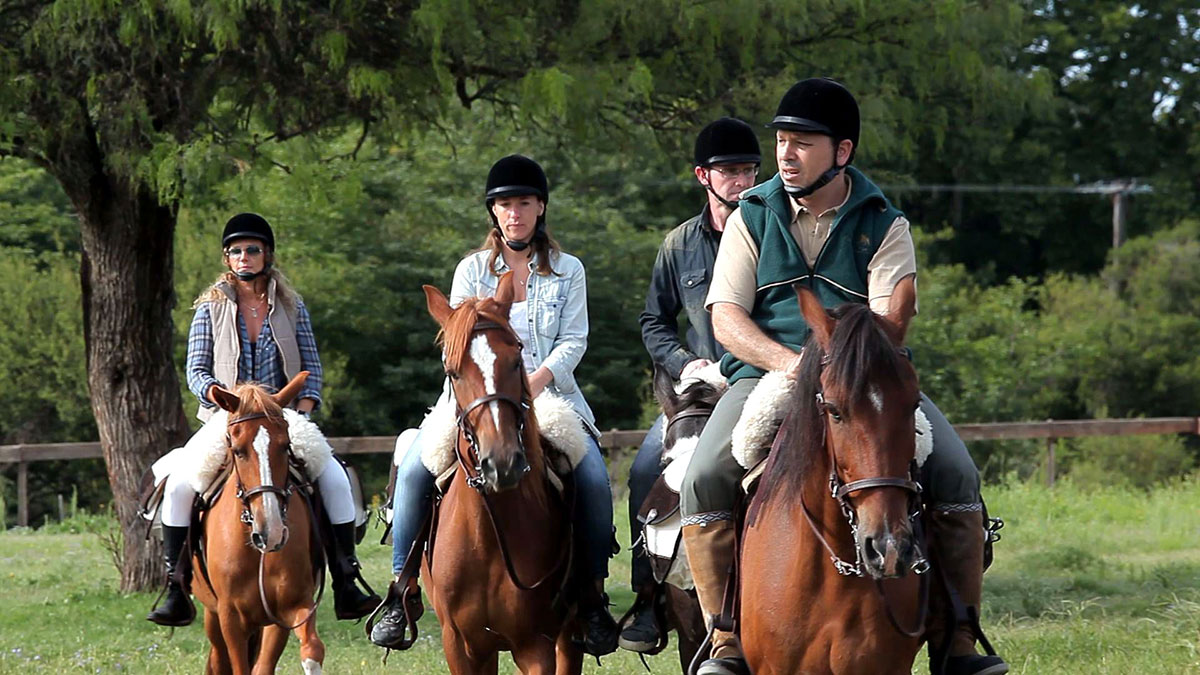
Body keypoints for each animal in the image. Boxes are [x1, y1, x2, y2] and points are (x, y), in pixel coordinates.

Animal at [192, 372, 326, 672]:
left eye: (286, 446)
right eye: (238, 450)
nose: (271, 532)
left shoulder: (290, 607)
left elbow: (311, 650)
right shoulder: (230, 617)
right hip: (213, 617)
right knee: (218, 659)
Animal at [420, 269, 578, 672]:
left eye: (515, 360)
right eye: (453, 372)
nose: (502, 462)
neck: (488, 537)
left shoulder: (536, 645)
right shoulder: (461, 645)